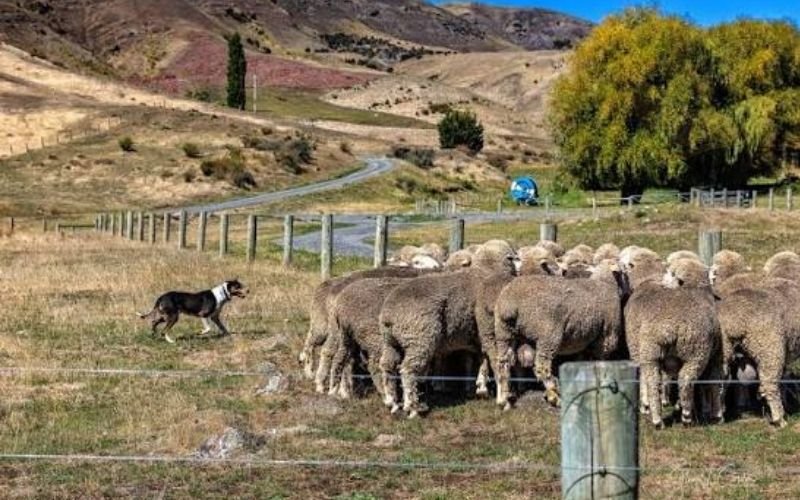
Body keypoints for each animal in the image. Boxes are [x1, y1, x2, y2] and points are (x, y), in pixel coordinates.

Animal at [379, 243, 519, 417]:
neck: (486, 270)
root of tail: (388, 314)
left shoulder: (477, 335)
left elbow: (482, 359)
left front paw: (481, 387)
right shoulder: (489, 330)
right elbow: (495, 361)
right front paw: (503, 399)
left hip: (391, 341)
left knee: (387, 365)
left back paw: (391, 402)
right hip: (419, 338)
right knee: (408, 369)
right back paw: (412, 407)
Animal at [494, 259, 629, 408]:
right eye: (624, 271)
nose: (629, 290)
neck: (605, 284)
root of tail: (511, 304)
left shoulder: (583, 340)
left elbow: (581, 361)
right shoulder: (606, 338)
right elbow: (600, 362)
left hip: (504, 332)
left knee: (503, 363)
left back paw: (503, 399)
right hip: (548, 334)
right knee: (542, 367)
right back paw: (554, 396)